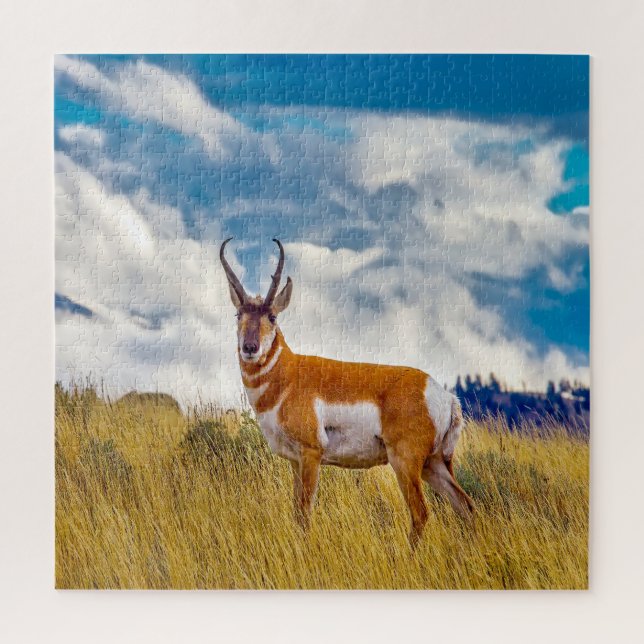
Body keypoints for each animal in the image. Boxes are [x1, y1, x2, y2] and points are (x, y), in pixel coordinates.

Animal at [220, 238, 475, 546]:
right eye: (239, 314)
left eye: (272, 316)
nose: (250, 347)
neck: (289, 374)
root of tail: (443, 395)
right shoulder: (294, 461)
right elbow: (295, 512)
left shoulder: (311, 455)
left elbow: (304, 513)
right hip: (433, 465)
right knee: (465, 505)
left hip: (405, 462)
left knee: (421, 513)